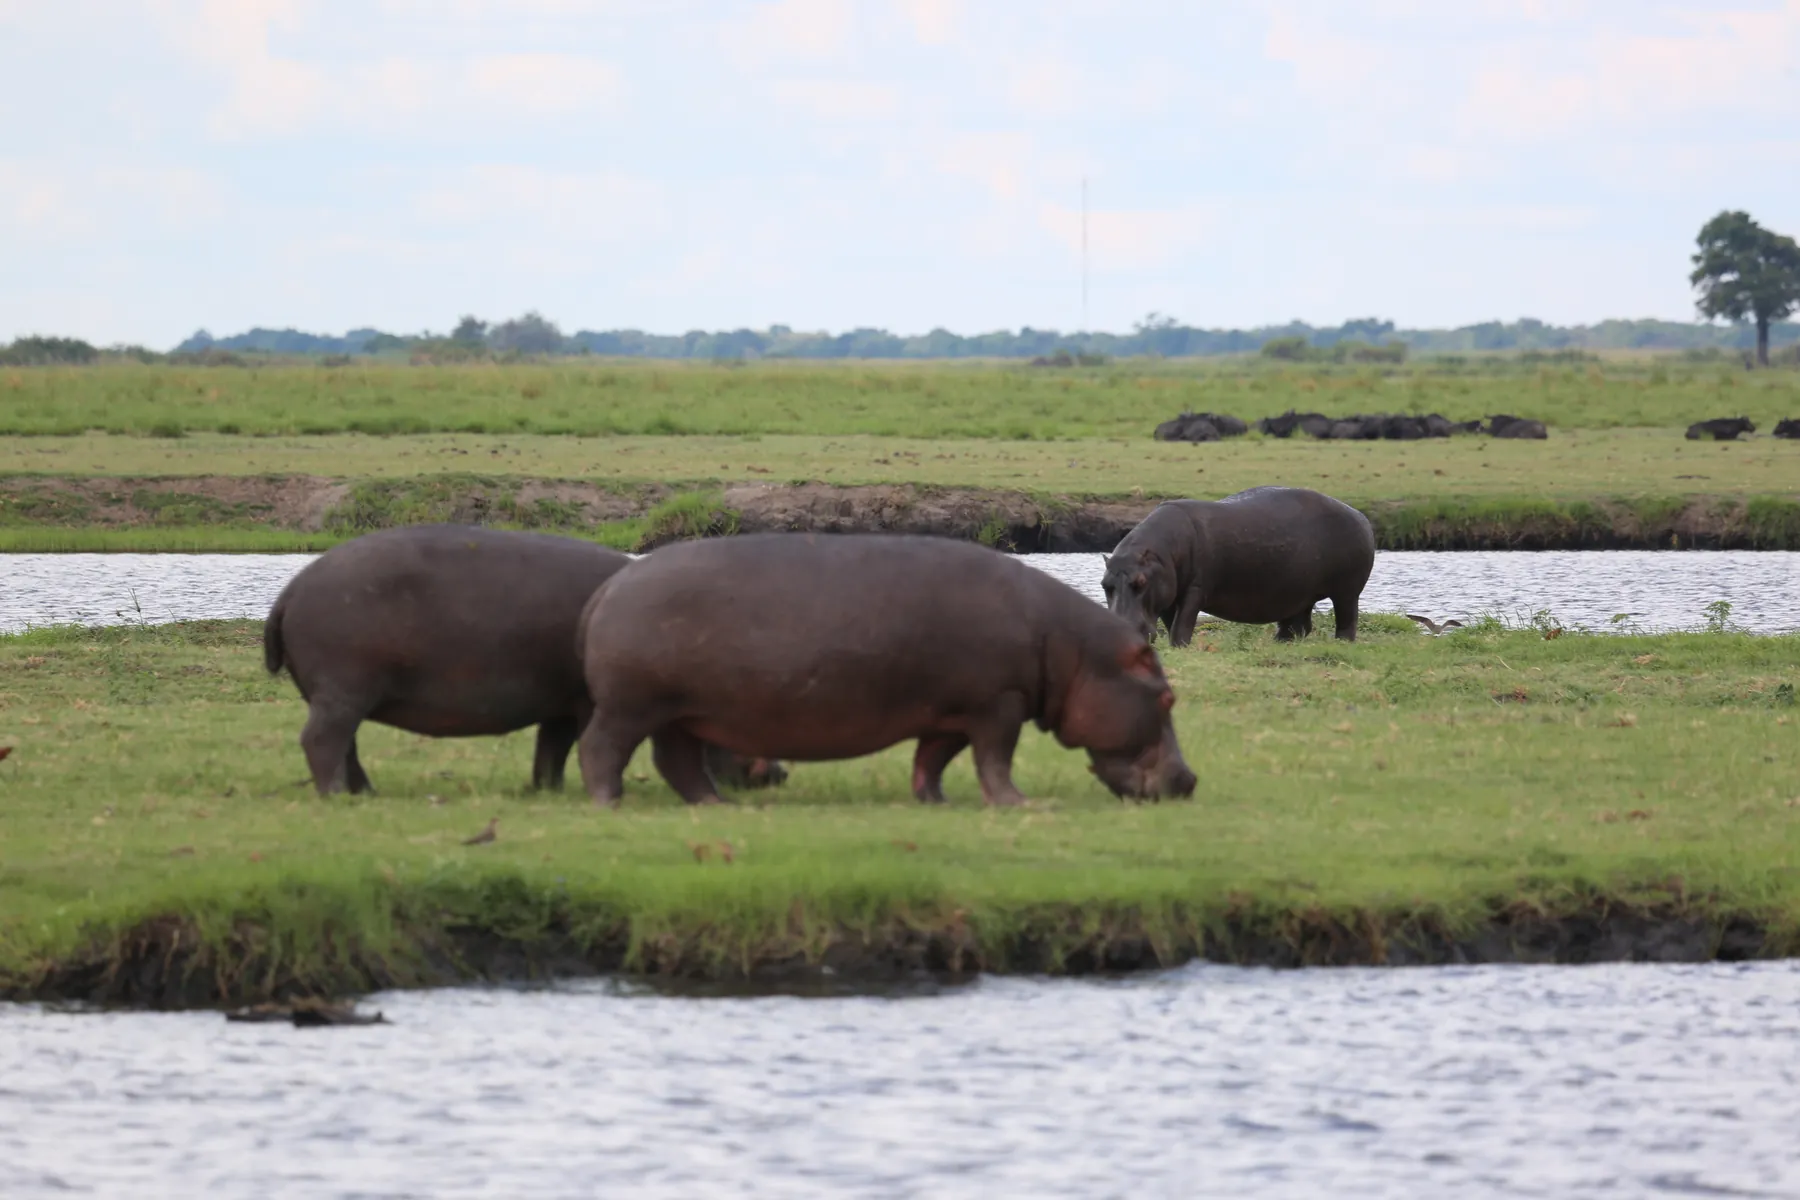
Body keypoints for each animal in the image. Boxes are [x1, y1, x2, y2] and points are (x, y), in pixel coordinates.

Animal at [262, 525, 786, 796]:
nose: (779, 773)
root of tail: (290, 590)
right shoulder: (583, 703)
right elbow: (564, 745)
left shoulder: (561, 703)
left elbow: (549, 749)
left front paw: (546, 791)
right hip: (342, 691)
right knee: (322, 741)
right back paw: (337, 796)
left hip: (341, 696)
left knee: (345, 745)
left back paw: (365, 794)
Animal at [573, 533, 1196, 809]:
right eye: (1168, 700)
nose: (1190, 780)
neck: (1073, 649)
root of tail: (608, 588)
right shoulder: (999, 704)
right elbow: (995, 758)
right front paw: (1020, 805)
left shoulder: (952, 711)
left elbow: (933, 758)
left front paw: (932, 801)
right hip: (632, 706)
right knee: (601, 748)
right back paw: (610, 802)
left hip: (679, 712)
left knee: (675, 760)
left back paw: (717, 806)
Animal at [1102, 486, 1375, 646]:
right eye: (1104, 585)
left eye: (1140, 582)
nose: (1119, 634)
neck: (1160, 555)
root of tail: (1360, 515)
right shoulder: (1168, 591)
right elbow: (1171, 622)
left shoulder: (1195, 589)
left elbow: (1183, 622)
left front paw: (1181, 645)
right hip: (1299, 592)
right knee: (1299, 625)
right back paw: (1280, 642)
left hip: (1347, 591)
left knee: (1347, 619)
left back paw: (1341, 642)